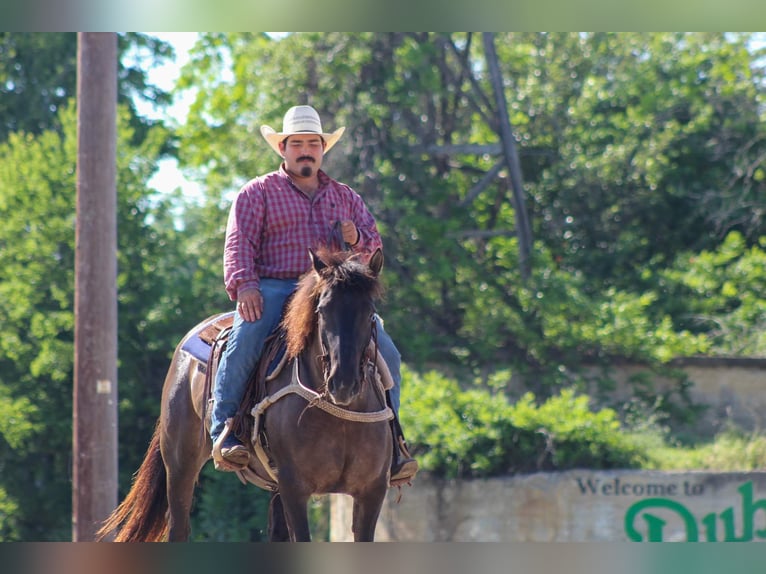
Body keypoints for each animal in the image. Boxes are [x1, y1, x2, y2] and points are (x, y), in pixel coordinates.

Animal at [97, 249, 392, 544]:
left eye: (370, 313)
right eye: (321, 310)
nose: (343, 384)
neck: (340, 420)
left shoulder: (372, 491)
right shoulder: (294, 487)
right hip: (180, 466)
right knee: (178, 526)